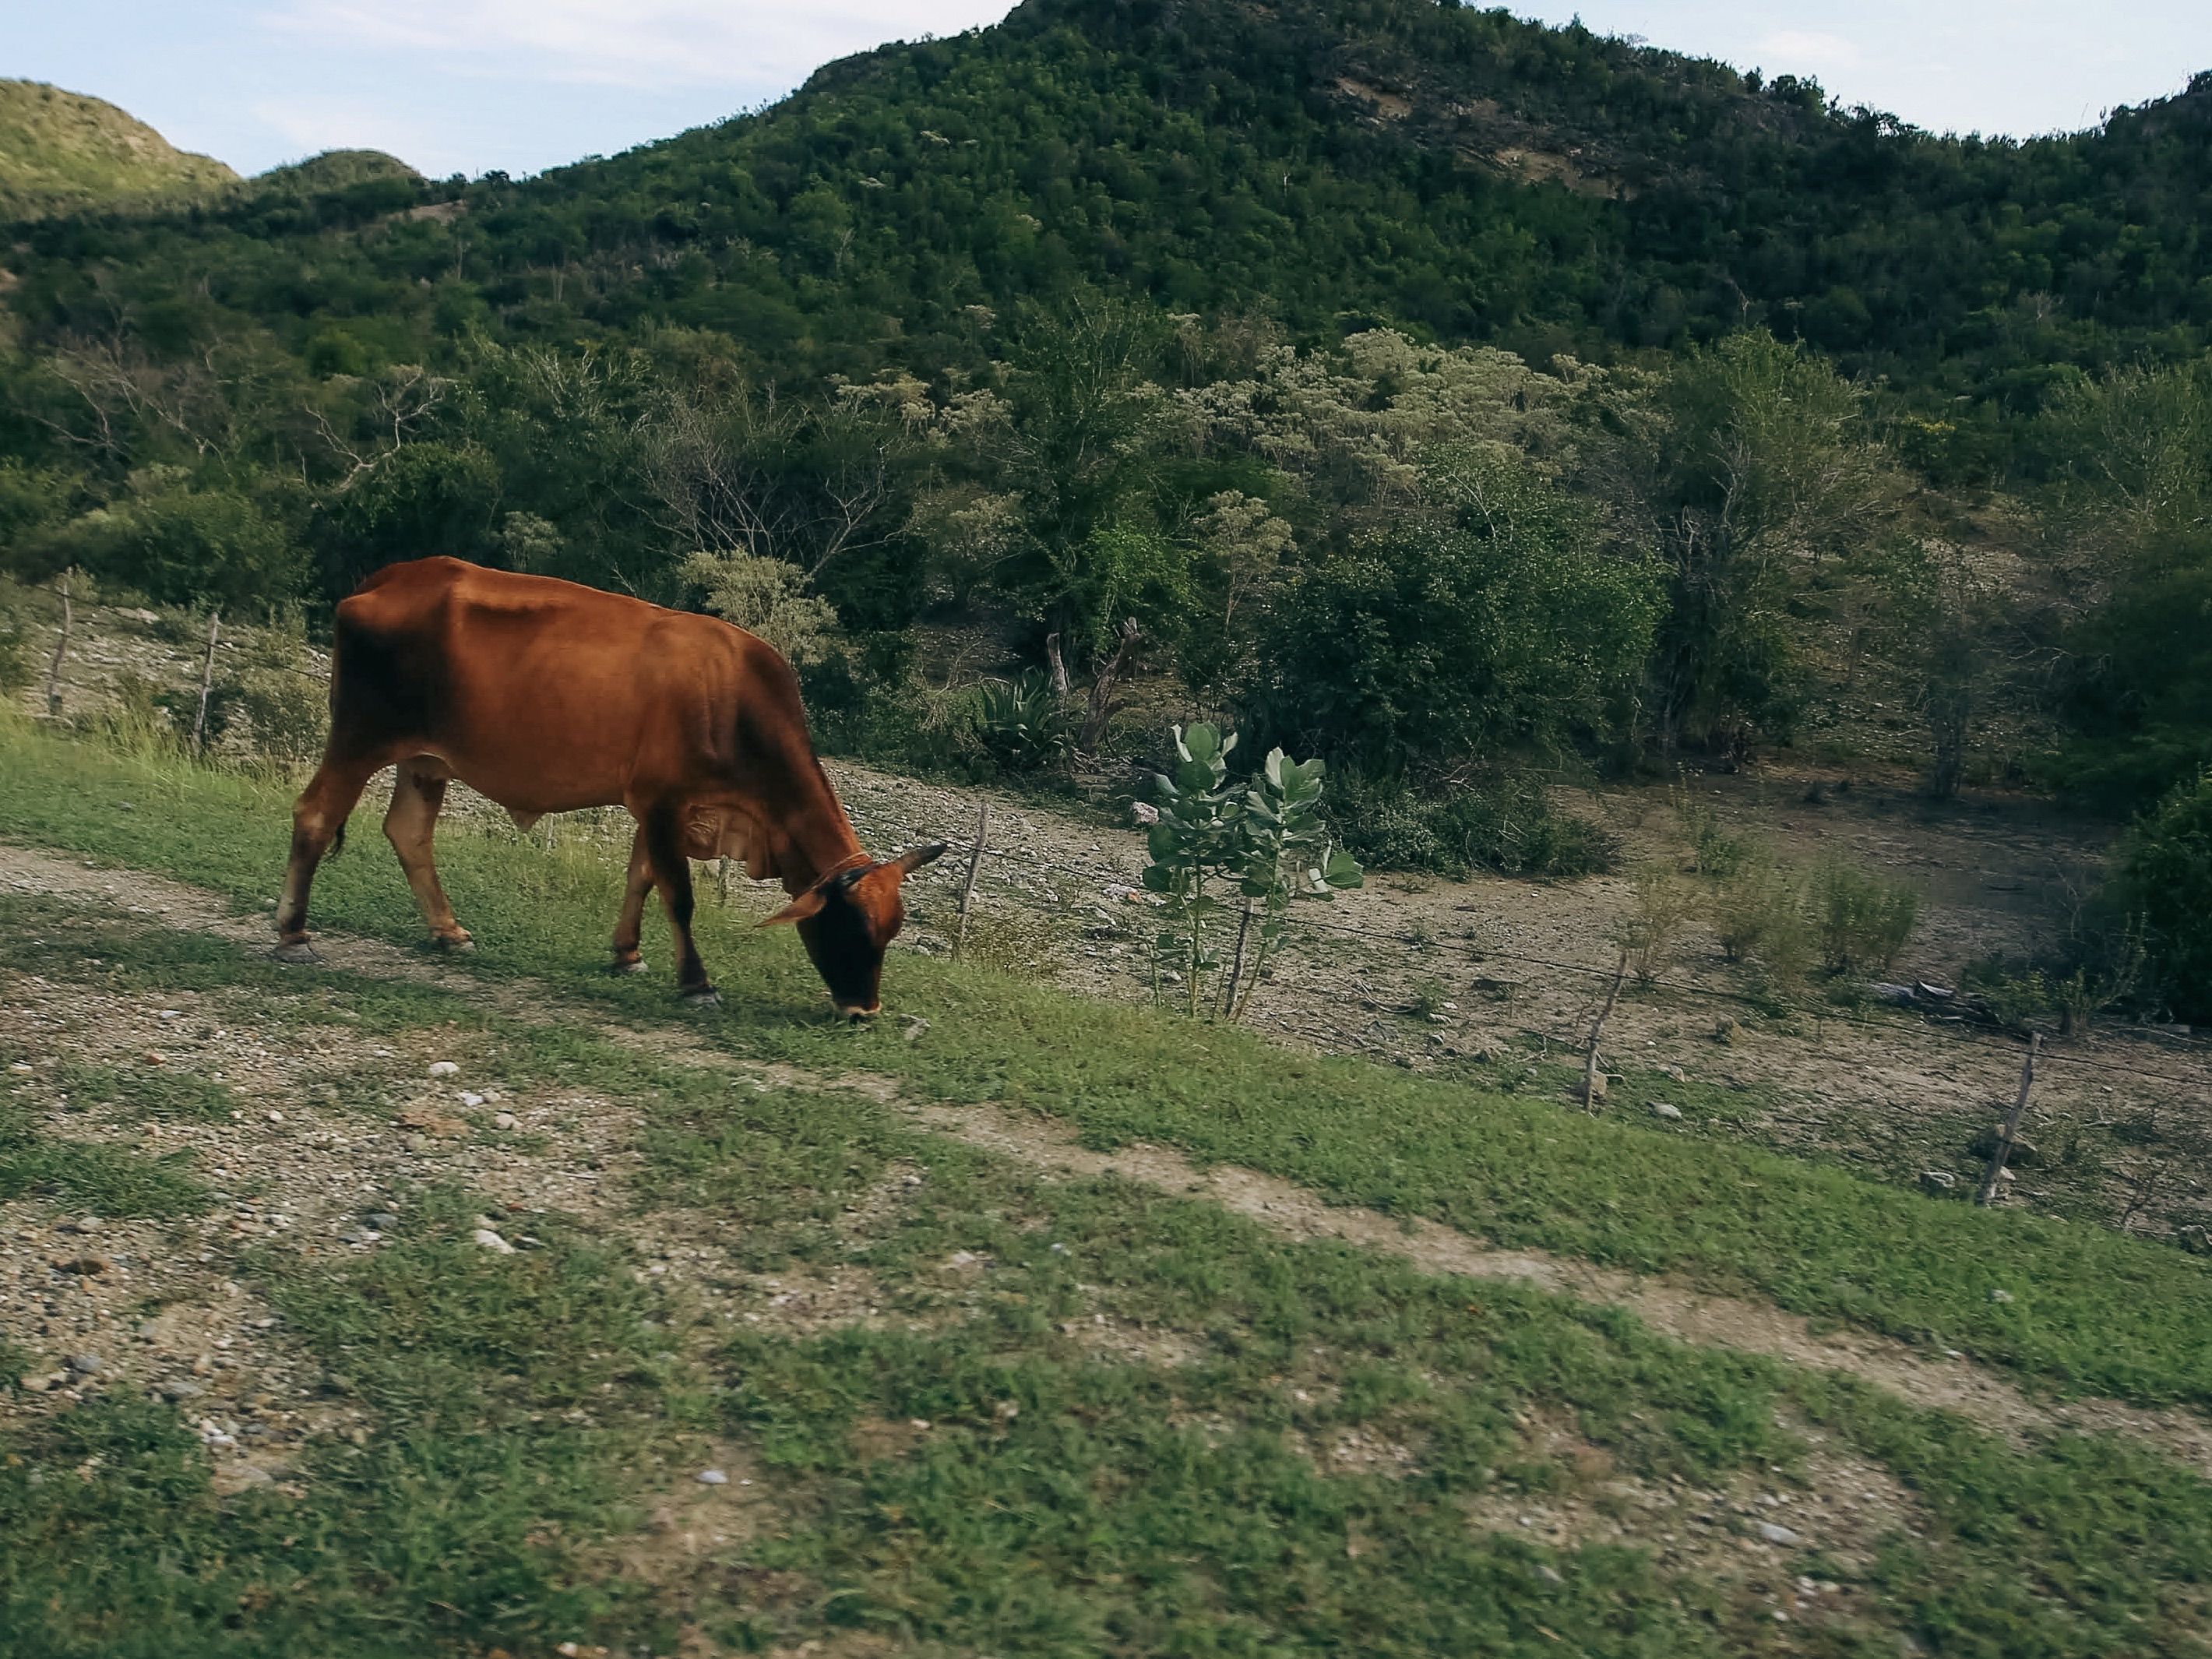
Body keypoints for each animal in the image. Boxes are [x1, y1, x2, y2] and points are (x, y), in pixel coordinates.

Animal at [273, 557, 945, 1016]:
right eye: (854, 930)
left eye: (892, 931)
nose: (863, 1012)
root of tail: (386, 578)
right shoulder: (663, 801)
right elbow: (679, 895)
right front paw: (697, 984)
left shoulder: (660, 806)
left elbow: (641, 879)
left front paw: (628, 955)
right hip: (359, 737)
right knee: (314, 814)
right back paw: (293, 935)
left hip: (423, 760)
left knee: (409, 833)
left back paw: (448, 931)